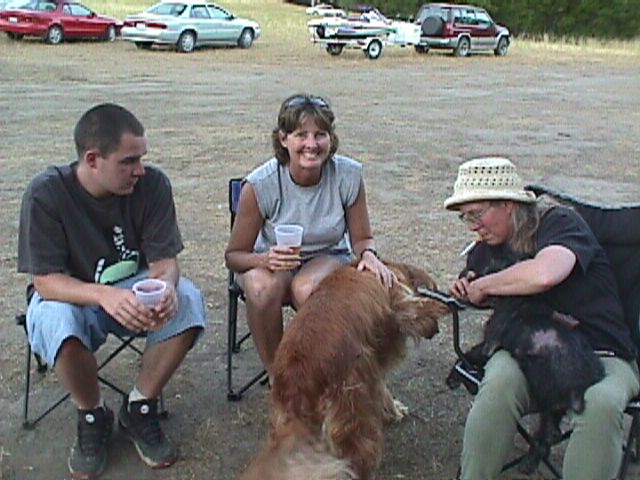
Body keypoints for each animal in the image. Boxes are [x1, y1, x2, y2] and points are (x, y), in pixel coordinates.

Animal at [240, 261, 450, 480]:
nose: (437, 330)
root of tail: (296, 380)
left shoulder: (372, 364)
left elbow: (381, 386)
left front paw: (392, 410)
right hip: (353, 408)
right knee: (359, 458)